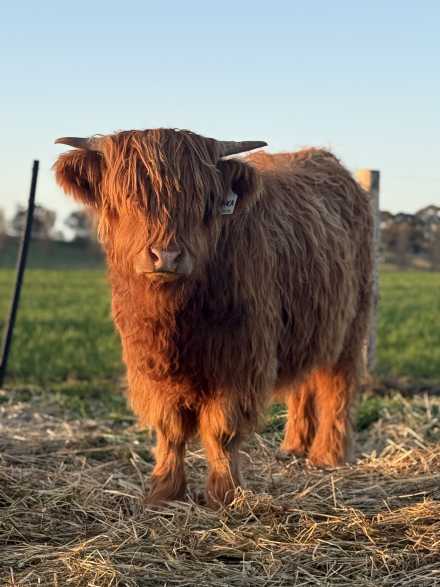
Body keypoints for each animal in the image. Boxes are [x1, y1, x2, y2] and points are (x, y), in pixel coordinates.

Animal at [54, 129, 373, 506]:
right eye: (130, 197)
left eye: (201, 202)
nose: (166, 255)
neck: (175, 318)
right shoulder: (147, 364)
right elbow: (169, 428)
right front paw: (163, 490)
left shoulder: (239, 360)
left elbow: (221, 429)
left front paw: (224, 493)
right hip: (306, 326)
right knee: (304, 384)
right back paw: (294, 447)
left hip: (352, 324)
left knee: (338, 387)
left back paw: (329, 455)